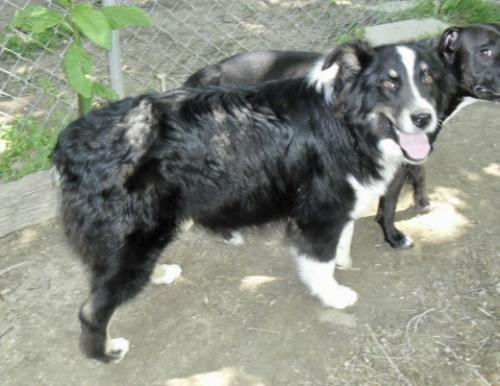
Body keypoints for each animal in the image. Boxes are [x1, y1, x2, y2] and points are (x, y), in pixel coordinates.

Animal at [54, 40, 454, 364]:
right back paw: (106, 352)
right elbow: (319, 261)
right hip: (135, 238)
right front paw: (333, 294)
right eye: (389, 83)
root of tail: (71, 143)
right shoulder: (319, 209)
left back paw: (161, 273)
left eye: (428, 79)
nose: (424, 118)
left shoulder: (339, 201)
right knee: (92, 308)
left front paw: (343, 258)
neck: (347, 123)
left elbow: (344, 235)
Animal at [185, 24, 500, 249]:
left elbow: (419, 171)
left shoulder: (413, 149)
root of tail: (204, 73)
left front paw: (422, 201)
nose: (421, 117)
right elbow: (388, 205)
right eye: (485, 51)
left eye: (428, 77)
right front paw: (393, 236)